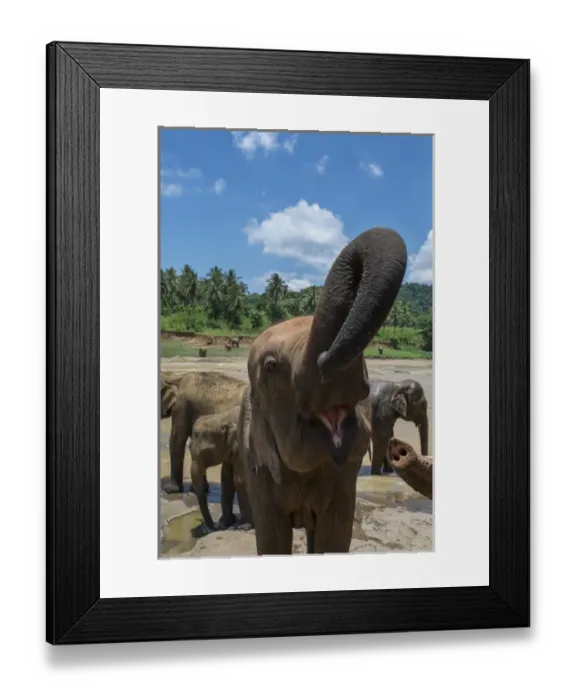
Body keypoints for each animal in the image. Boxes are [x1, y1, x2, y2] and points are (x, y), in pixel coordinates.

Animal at [237, 227, 408, 555]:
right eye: (271, 367)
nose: (325, 357)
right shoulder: (257, 465)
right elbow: (272, 540)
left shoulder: (344, 479)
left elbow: (334, 536)